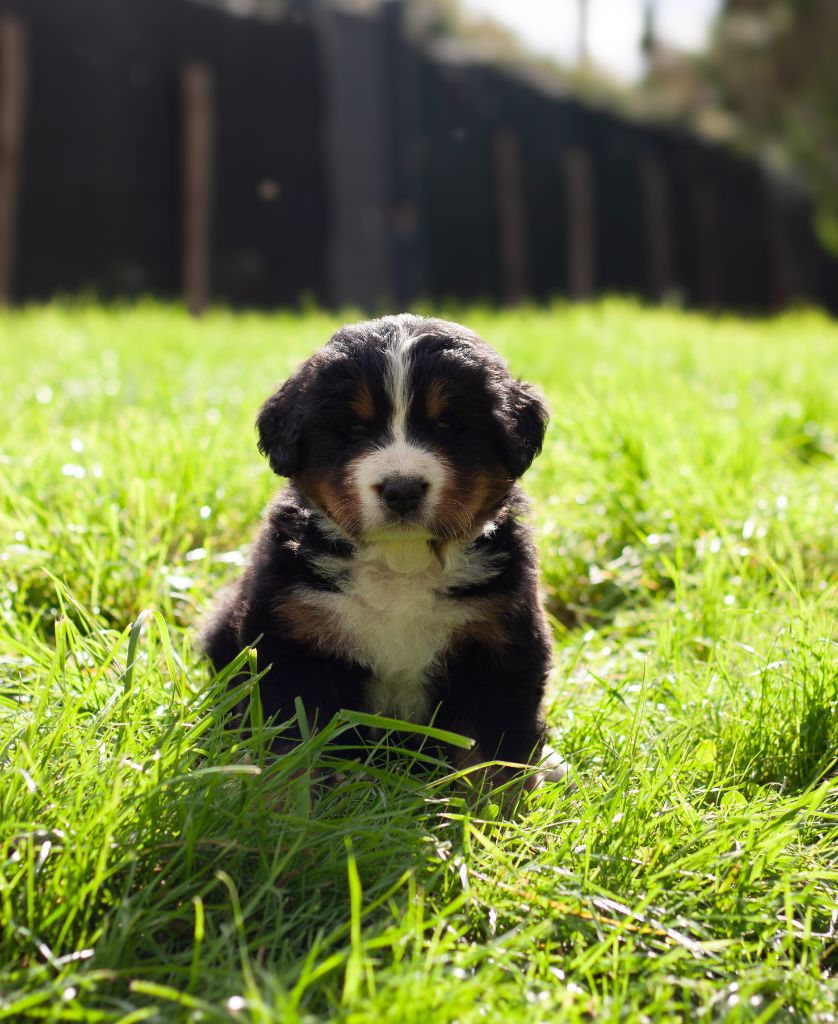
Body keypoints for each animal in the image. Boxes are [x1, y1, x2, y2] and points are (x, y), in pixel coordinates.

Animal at [200, 315, 553, 778]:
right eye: (354, 429)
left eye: (447, 426)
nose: (402, 489)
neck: (400, 565)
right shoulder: (295, 645)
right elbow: (296, 753)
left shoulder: (498, 651)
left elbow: (491, 763)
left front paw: (491, 801)